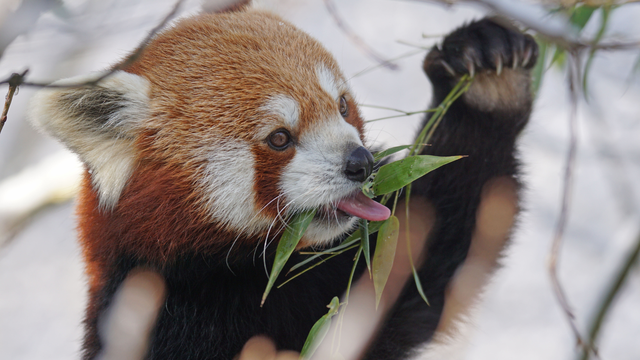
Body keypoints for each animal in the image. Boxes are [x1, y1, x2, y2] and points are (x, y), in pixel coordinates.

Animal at [28, 6, 536, 360]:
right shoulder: (154, 318)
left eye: (343, 105)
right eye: (279, 138)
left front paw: (484, 75)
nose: (361, 162)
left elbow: (425, 252)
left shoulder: (337, 283)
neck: (244, 280)